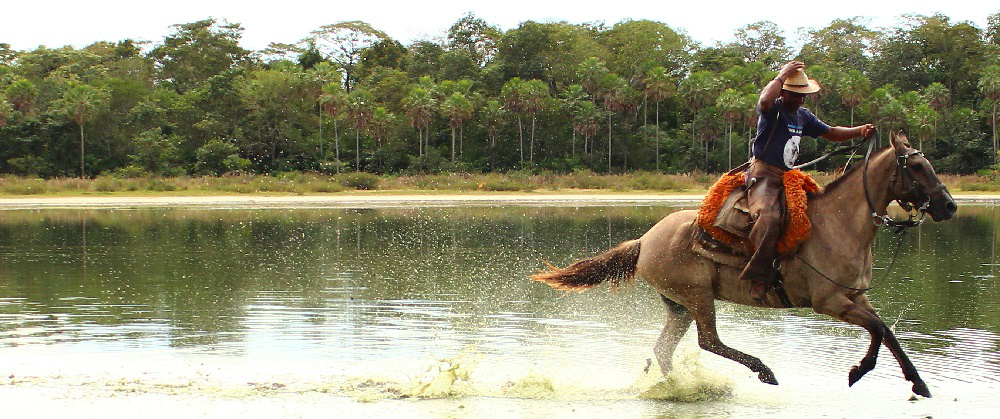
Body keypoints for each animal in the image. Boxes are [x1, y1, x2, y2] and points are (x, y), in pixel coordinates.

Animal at [536, 132, 956, 400]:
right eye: (918, 167)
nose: (949, 205)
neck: (839, 223)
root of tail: (644, 241)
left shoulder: (856, 297)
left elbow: (886, 332)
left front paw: (918, 384)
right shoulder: (831, 302)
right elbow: (879, 329)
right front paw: (859, 371)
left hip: (679, 306)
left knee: (664, 349)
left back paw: (675, 387)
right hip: (698, 297)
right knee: (708, 341)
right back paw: (761, 371)